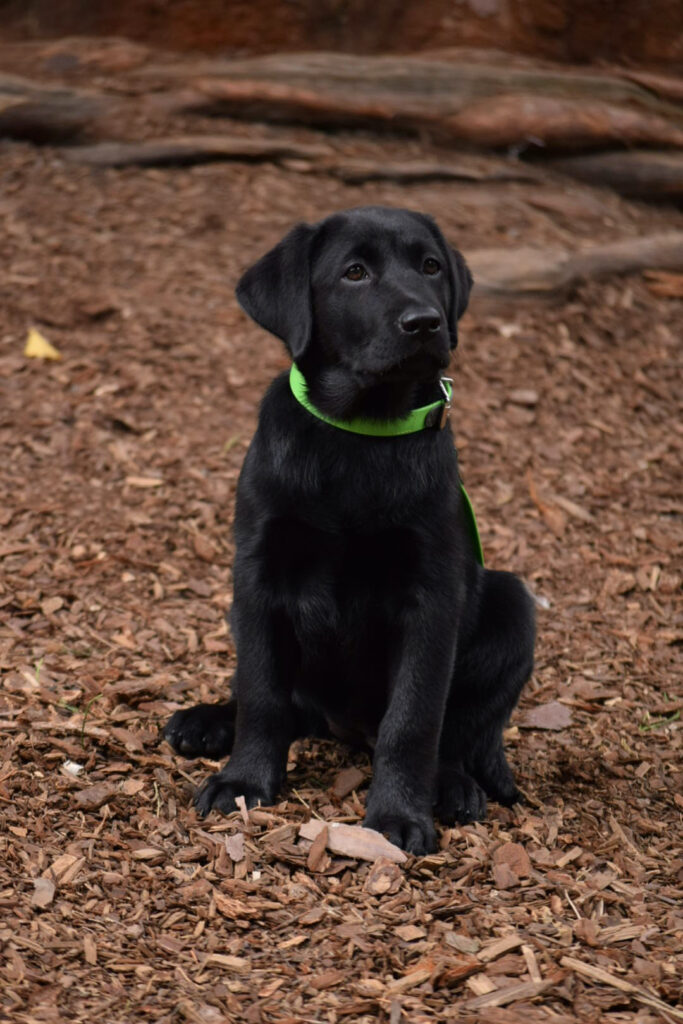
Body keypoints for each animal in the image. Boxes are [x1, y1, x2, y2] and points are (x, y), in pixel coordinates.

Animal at [164, 205, 535, 855]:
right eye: (354, 273)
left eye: (431, 267)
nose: (425, 322)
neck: (362, 433)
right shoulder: (257, 577)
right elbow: (262, 692)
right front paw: (244, 782)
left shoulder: (431, 597)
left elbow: (413, 719)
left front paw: (398, 816)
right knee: (284, 702)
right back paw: (206, 720)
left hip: (513, 604)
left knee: (462, 734)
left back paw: (453, 786)